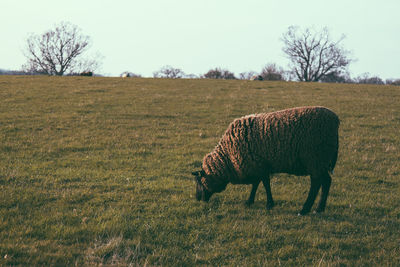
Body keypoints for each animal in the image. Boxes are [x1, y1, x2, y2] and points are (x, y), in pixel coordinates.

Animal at [192, 106, 340, 216]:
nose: (198, 198)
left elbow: (265, 184)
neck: (227, 158)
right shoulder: (257, 165)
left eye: (199, 181)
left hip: (315, 158)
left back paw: (304, 210)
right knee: (326, 181)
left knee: (316, 183)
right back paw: (319, 209)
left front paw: (269, 204)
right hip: (321, 161)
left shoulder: (260, 166)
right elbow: (256, 184)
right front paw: (250, 201)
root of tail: (335, 121)